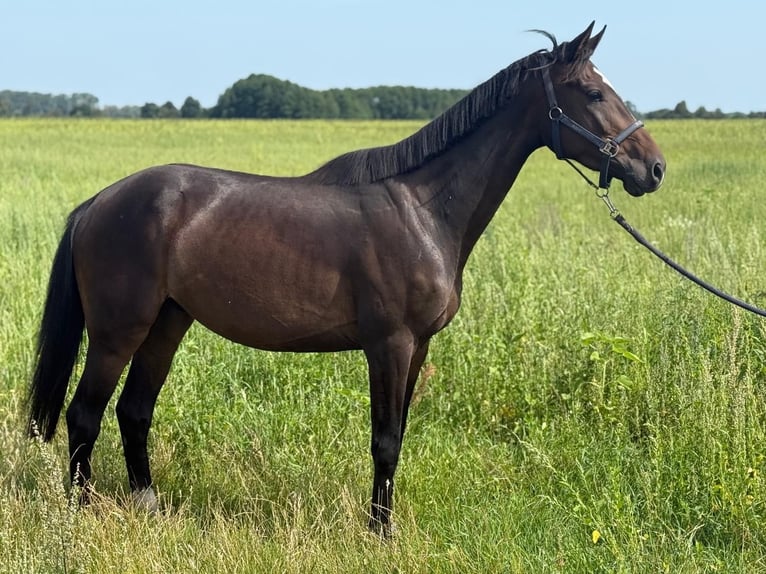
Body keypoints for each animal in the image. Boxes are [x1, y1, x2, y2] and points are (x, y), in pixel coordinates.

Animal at [27, 22, 665, 535]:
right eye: (593, 92)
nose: (654, 168)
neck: (424, 210)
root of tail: (99, 203)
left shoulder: (417, 348)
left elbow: (398, 436)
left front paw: (383, 523)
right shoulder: (389, 344)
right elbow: (384, 442)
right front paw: (380, 533)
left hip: (167, 323)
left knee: (133, 411)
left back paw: (149, 504)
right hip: (117, 333)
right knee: (84, 415)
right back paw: (81, 511)